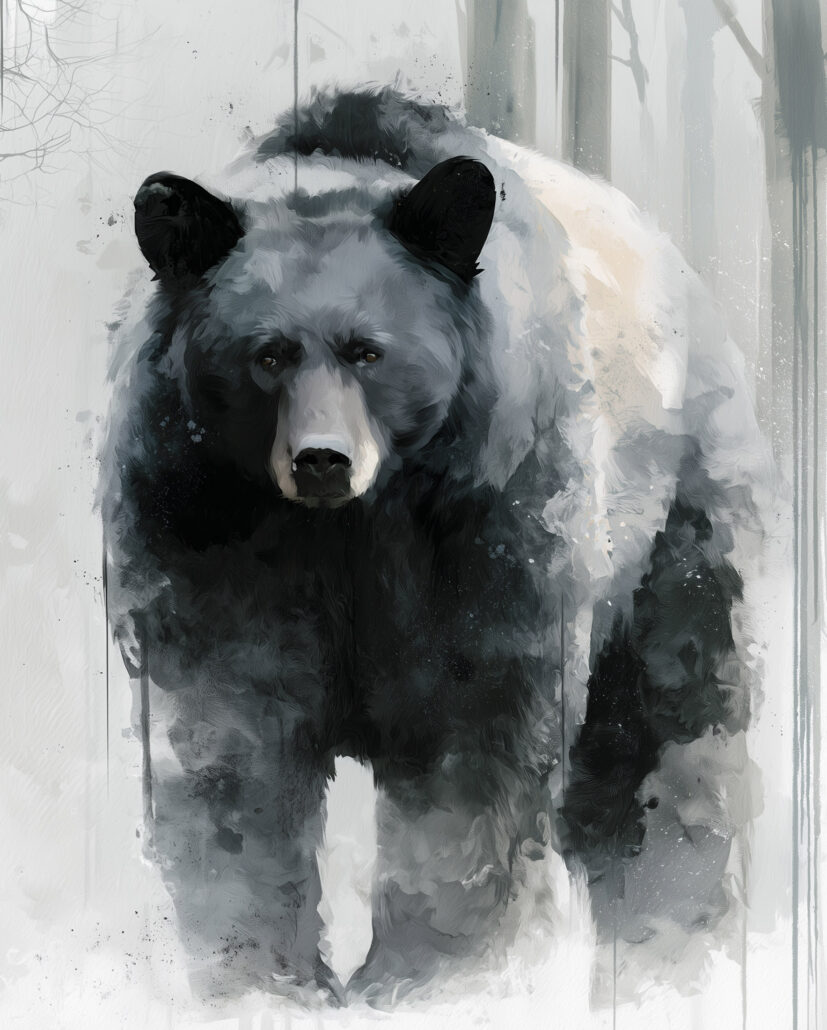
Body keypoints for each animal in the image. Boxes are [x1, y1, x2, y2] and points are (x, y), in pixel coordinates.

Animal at [101, 86, 771, 1004]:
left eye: (368, 350)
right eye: (267, 353)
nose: (320, 459)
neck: (340, 530)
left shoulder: (487, 527)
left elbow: (470, 741)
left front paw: (423, 974)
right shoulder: (205, 529)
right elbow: (232, 743)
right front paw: (262, 974)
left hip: (672, 520)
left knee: (667, 724)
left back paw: (670, 931)